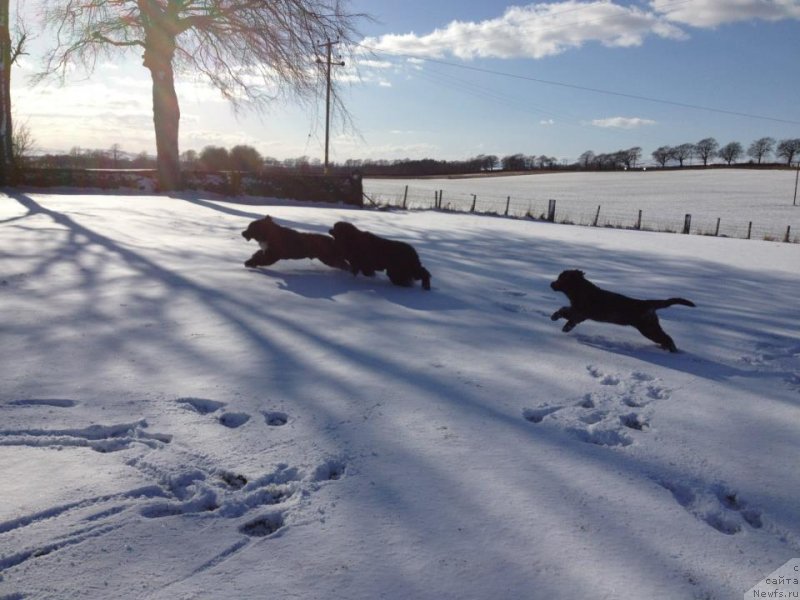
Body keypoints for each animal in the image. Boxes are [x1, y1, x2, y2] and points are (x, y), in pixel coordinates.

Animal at [552, 268, 692, 352]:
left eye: (561, 279)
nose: (551, 284)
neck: (580, 291)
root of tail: (648, 303)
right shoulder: (579, 314)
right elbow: (567, 314)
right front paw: (561, 323)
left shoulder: (580, 312)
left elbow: (566, 312)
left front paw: (558, 320)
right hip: (651, 326)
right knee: (664, 337)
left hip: (648, 328)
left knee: (666, 337)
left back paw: (673, 350)